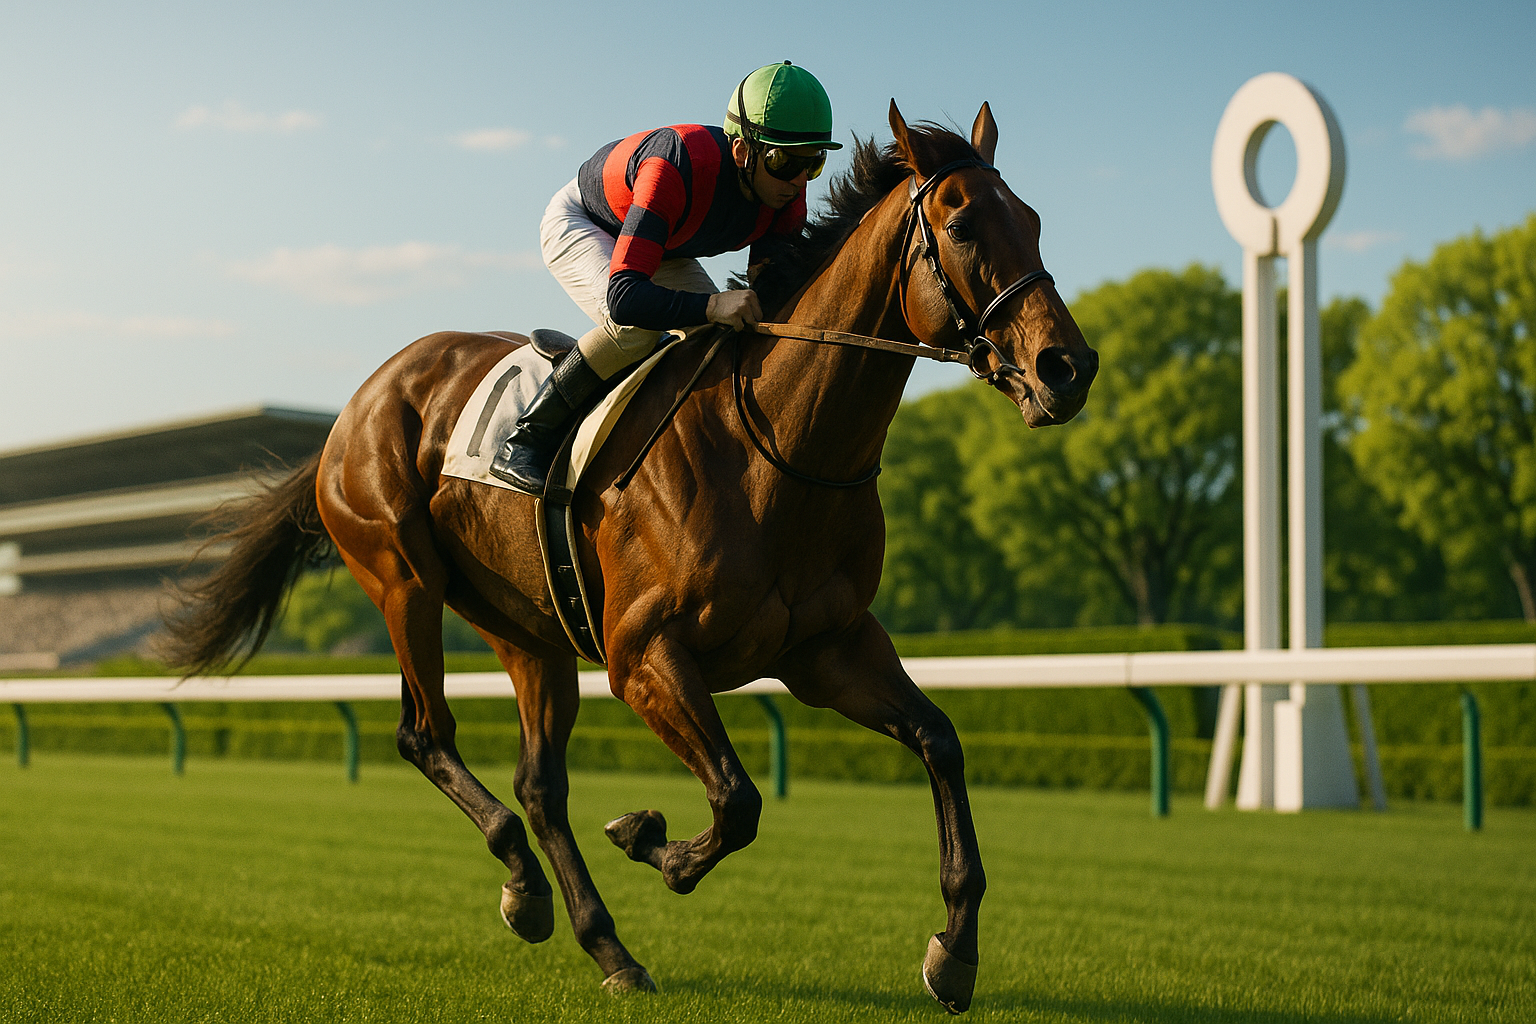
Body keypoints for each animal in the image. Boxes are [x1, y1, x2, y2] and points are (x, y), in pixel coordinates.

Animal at [165, 101, 1097, 1013]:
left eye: (1033, 219)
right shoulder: (643, 654)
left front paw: (955, 950)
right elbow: (738, 798)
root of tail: (353, 408)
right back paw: (530, 885)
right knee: (425, 734)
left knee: (539, 784)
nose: (1069, 366)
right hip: (404, 580)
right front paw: (653, 841)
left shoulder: (827, 650)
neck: (776, 448)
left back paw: (592, 936)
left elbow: (940, 741)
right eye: (964, 224)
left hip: (526, 626)